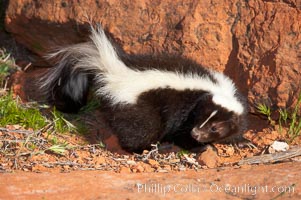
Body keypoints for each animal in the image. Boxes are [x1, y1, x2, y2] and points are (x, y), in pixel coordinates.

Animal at [39, 25, 246, 152]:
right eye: (199, 118)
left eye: (214, 127)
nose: (197, 133)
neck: (216, 89)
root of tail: (116, 71)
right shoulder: (183, 111)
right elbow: (180, 132)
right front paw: (199, 146)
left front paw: (241, 140)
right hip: (140, 109)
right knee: (139, 131)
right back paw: (146, 148)